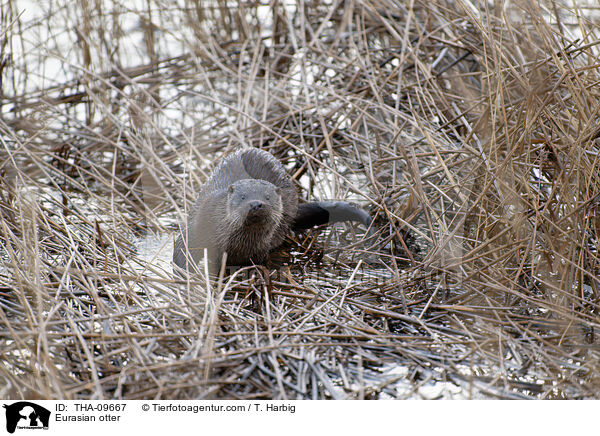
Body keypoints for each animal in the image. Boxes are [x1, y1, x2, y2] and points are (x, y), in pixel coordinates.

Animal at [171, 148, 372, 274]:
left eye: (267, 197)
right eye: (243, 196)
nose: (256, 204)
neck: (236, 245)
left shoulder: (258, 251)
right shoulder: (198, 224)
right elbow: (182, 249)